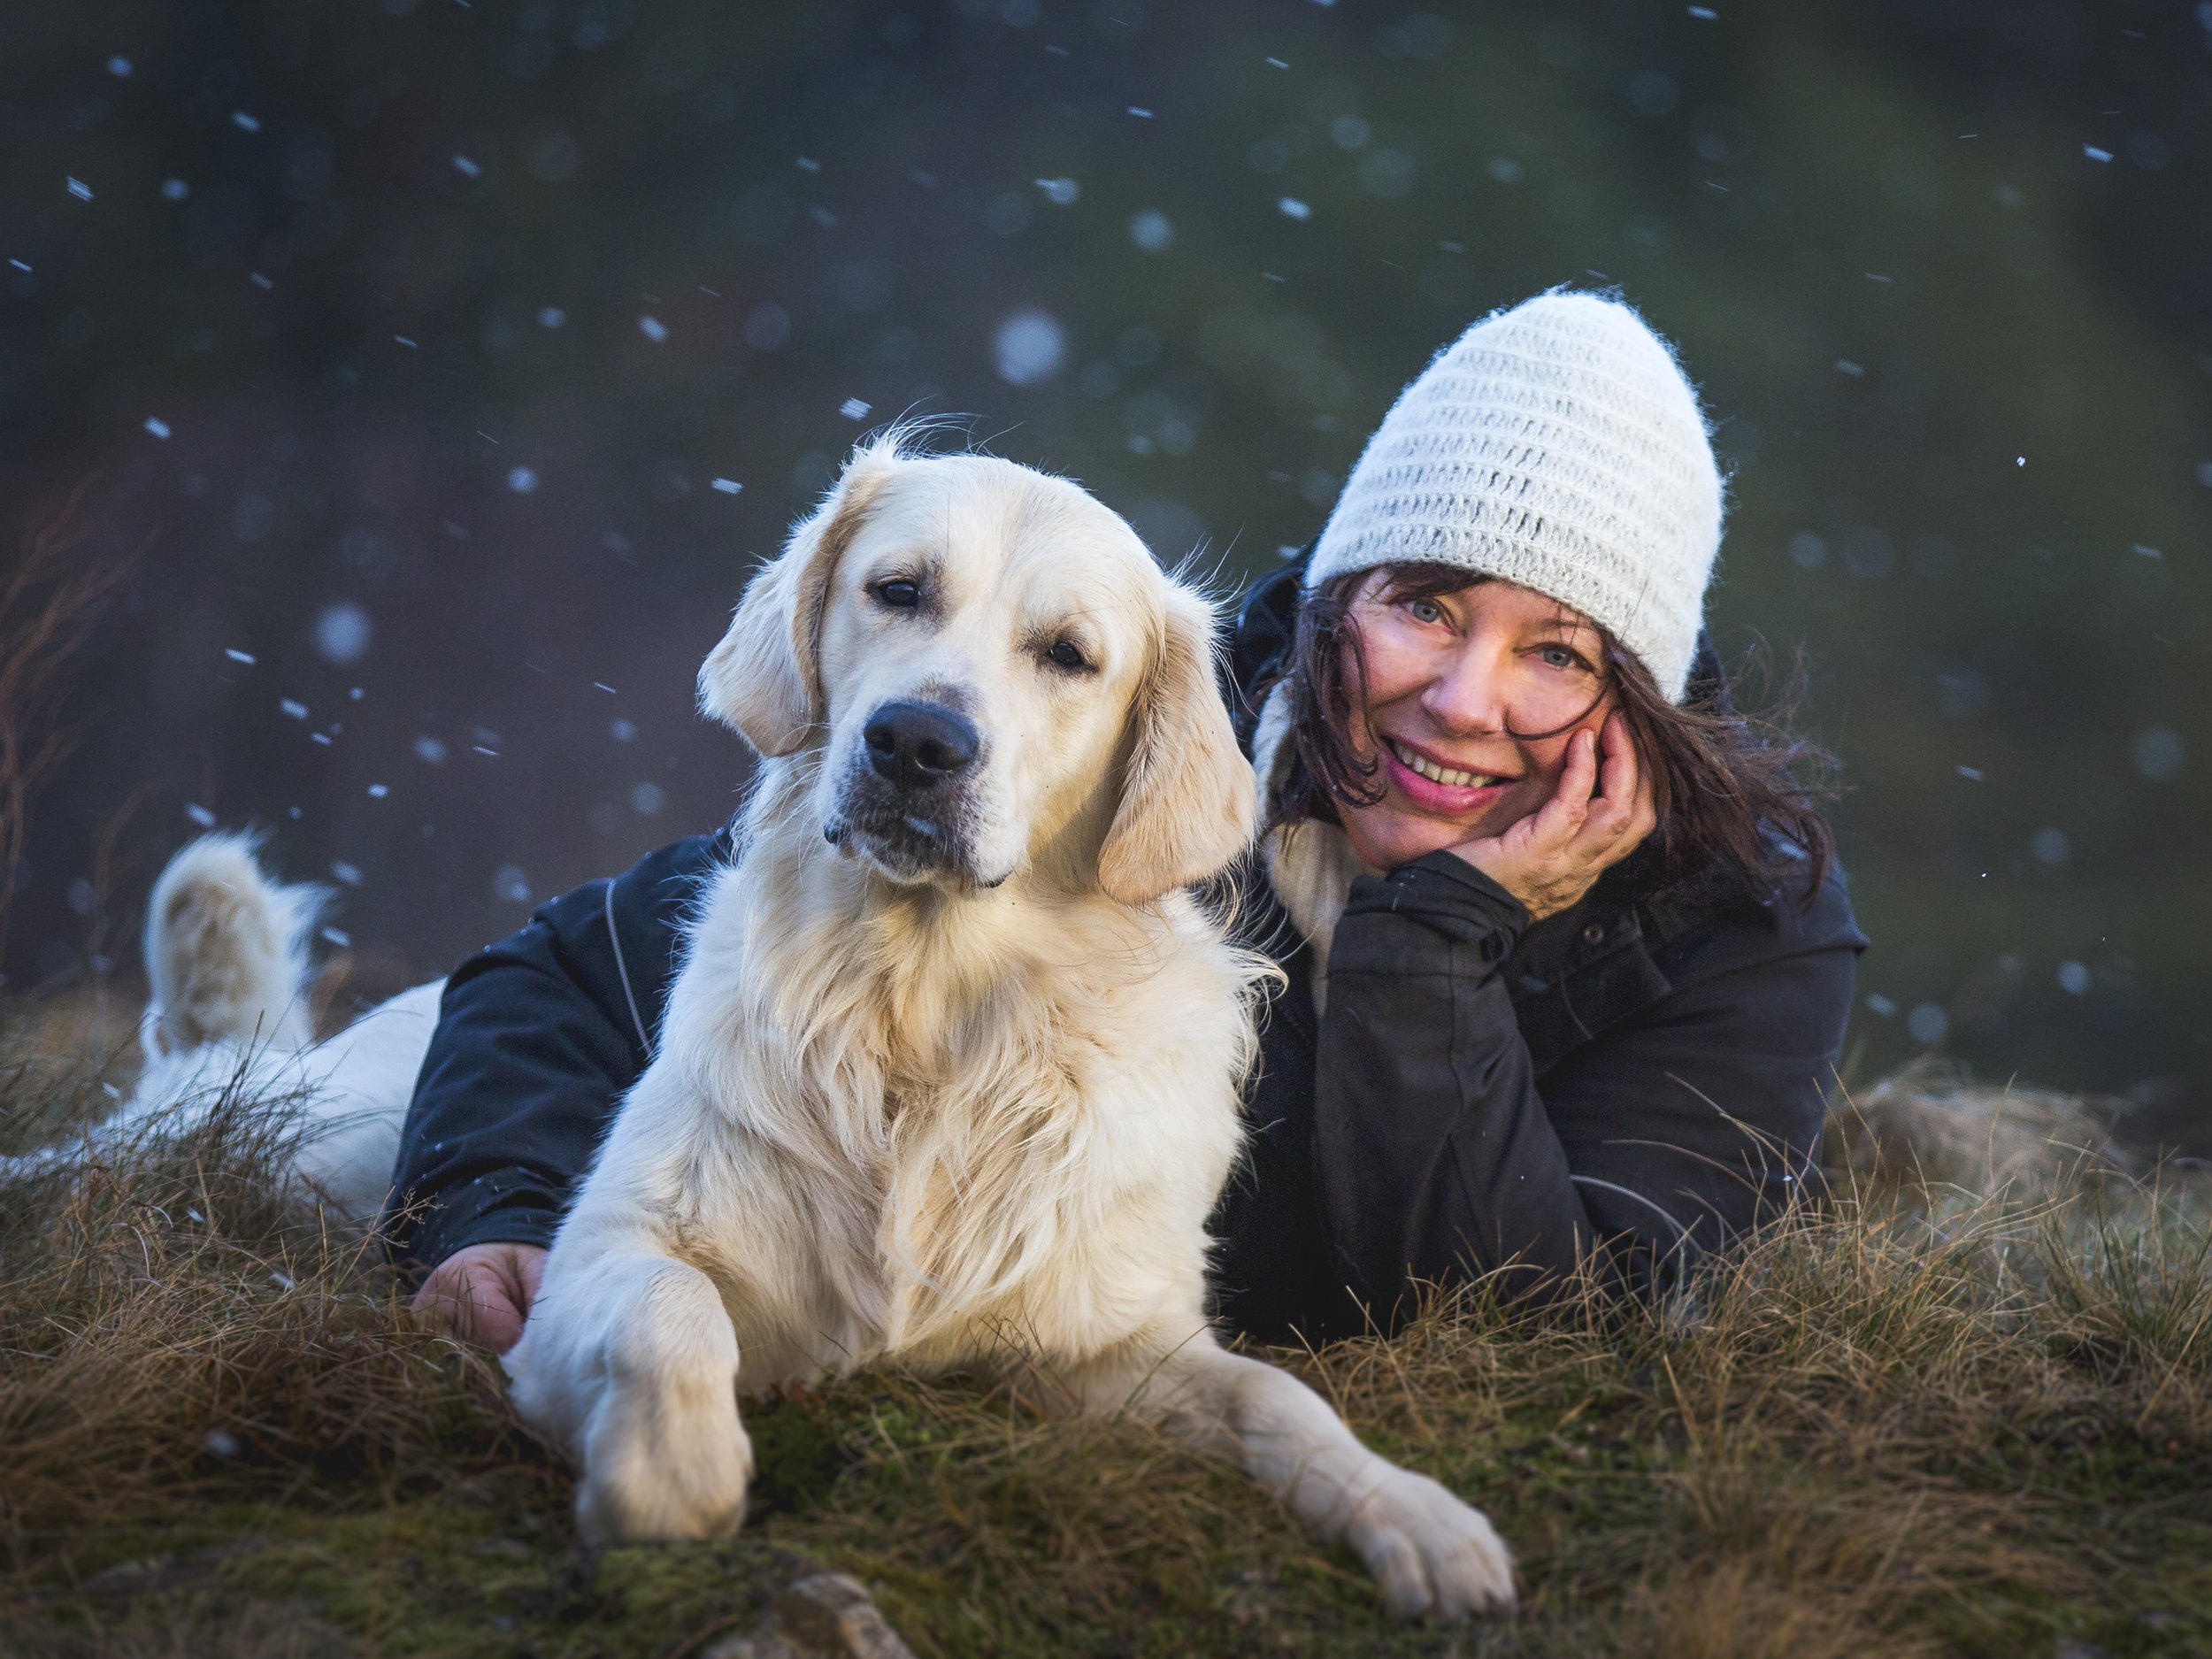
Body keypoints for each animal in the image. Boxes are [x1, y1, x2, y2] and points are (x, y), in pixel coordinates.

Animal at [78, 438, 1522, 1628]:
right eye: (898, 589)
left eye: (1069, 654)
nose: (916, 742)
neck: (920, 1017)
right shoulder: (598, 1265)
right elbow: (669, 1320)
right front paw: (670, 1483)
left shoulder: (1104, 1342)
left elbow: (1281, 1399)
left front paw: (1418, 1520)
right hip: (299, 1139)